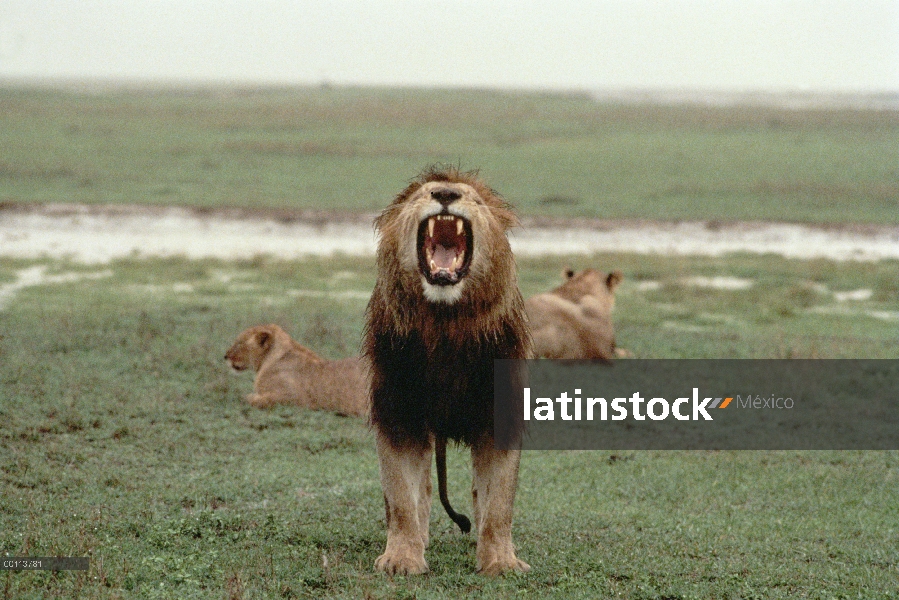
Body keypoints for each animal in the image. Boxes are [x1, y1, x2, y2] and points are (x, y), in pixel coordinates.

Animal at [364, 166, 532, 576]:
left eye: (473, 199)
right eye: (421, 194)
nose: (444, 193)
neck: (445, 324)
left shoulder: (499, 416)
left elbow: (498, 502)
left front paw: (501, 562)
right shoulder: (399, 415)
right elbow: (402, 498)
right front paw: (402, 559)